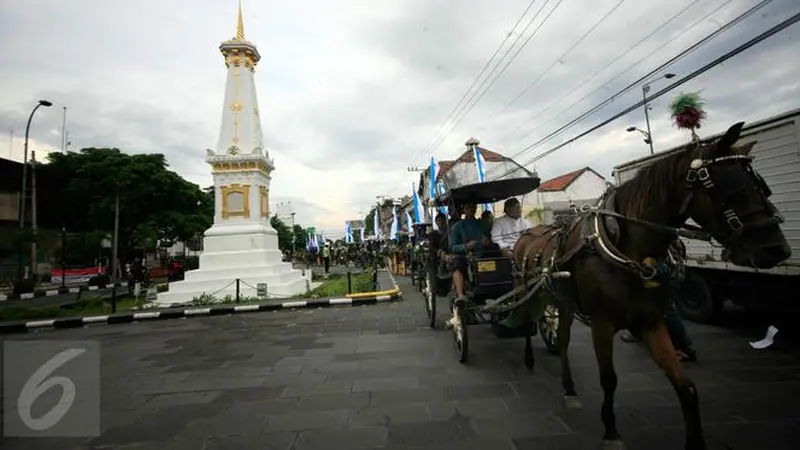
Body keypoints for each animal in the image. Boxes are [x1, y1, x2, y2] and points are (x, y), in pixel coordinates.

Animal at [516, 120, 792, 450]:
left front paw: (695, 441)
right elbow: (609, 379)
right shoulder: (602, 324)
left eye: (764, 188)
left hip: (563, 302)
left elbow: (686, 386)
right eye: (734, 190)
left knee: (563, 340)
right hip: (537, 295)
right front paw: (611, 431)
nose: (778, 250)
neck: (623, 247)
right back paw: (540, 366)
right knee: (540, 331)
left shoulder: (651, 322)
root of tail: (530, 235)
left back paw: (568, 387)